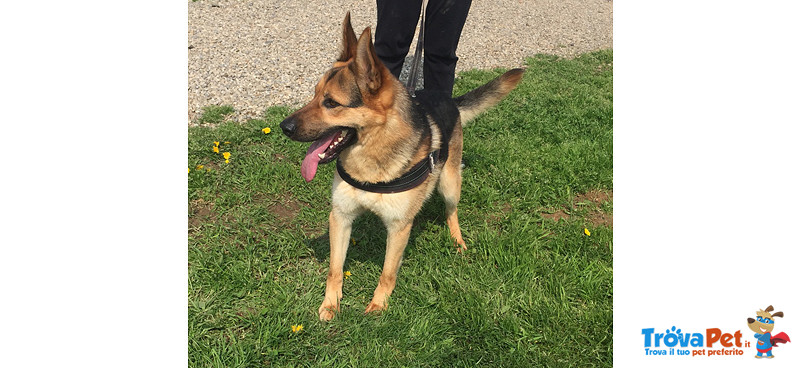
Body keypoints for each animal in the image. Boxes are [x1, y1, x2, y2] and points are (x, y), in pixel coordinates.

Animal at [282, 12, 524, 320]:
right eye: (314, 95)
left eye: (331, 103)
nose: (284, 127)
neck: (372, 160)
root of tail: (447, 98)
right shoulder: (341, 217)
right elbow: (335, 270)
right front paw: (330, 304)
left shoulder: (398, 228)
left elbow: (387, 273)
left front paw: (378, 305)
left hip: (449, 184)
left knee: (452, 211)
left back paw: (457, 240)